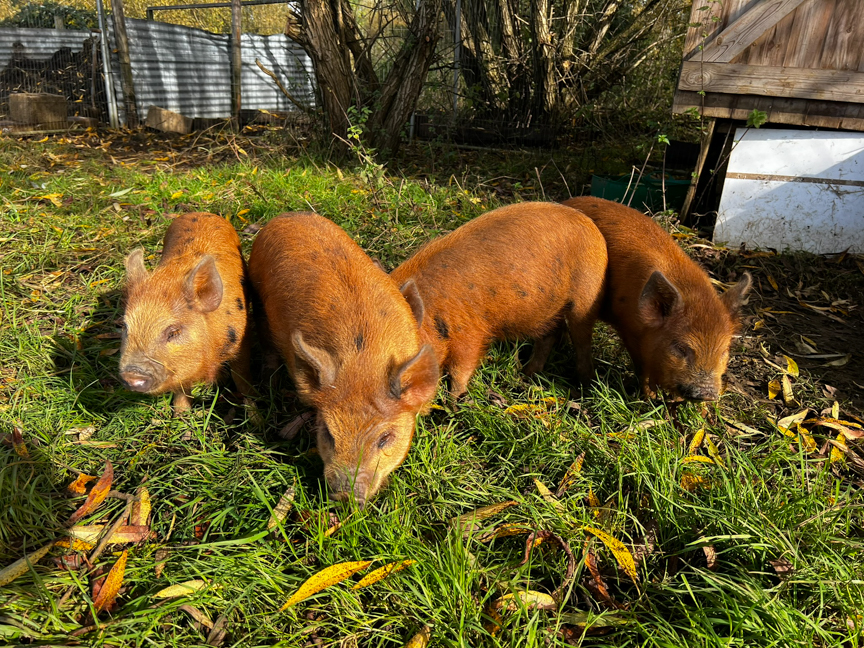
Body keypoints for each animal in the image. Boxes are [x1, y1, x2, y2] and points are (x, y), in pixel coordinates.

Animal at [119, 212, 253, 414]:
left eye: (174, 331)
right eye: (125, 327)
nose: (131, 376)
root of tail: (200, 213)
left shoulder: (240, 344)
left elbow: (242, 379)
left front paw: (255, 411)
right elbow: (181, 389)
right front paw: (181, 415)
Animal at [389, 202, 608, 398]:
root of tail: (592, 227)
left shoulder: (470, 334)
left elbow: (460, 370)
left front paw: (455, 401)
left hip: (586, 297)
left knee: (581, 340)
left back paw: (584, 388)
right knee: (549, 336)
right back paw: (526, 375)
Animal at [561, 196, 751, 401]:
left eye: (724, 351)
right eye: (681, 348)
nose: (707, 393)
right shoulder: (628, 328)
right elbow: (643, 366)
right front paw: (650, 397)